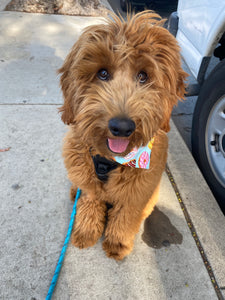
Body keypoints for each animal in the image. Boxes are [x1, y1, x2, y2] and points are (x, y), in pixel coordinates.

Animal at [58, 11, 186, 260]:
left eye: (143, 76)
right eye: (102, 73)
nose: (122, 127)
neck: (110, 159)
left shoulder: (136, 193)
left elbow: (125, 218)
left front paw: (117, 243)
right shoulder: (89, 184)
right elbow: (89, 205)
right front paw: (85, 232)